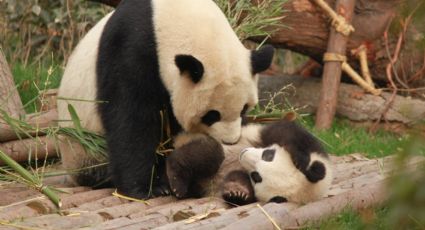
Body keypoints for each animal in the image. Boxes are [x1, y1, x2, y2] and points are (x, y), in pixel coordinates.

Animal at [56, 0, 274, 199]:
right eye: (211, 115)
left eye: (244, 109)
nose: (230, 141)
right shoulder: (130, 49)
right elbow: (131, 120)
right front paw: (144, 189)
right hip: (83, 148)